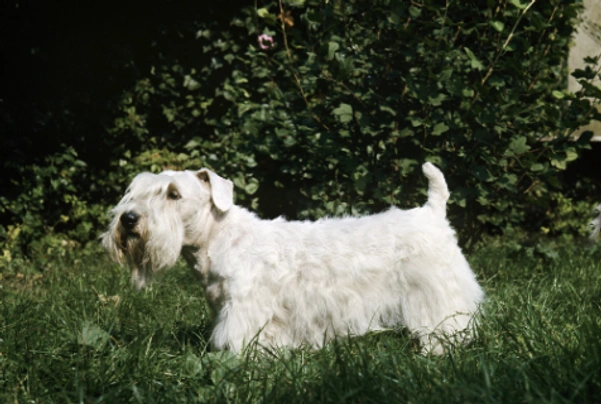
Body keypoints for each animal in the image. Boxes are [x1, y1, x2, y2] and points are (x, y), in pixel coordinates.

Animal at [102, 163, 482, 356]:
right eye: (134, 191)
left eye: (173, 194)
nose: (129, 220)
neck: (222, 238)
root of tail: (431, 211)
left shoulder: (245, 311)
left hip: (437, 294)